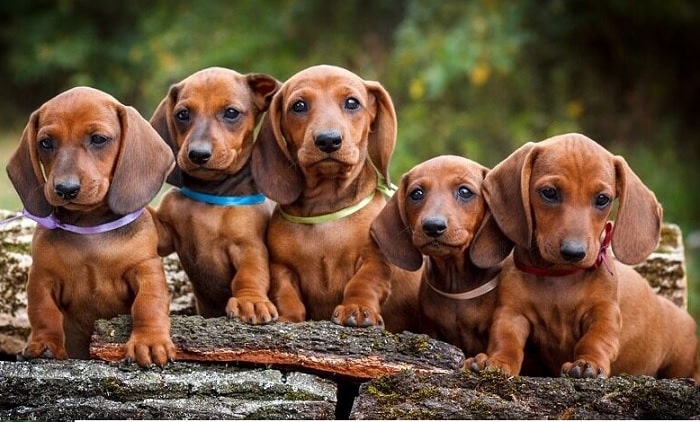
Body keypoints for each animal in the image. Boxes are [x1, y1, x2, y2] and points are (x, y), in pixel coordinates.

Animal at [6, 85, 176, 366]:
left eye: (98, 139)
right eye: (45, 142)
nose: (66, 189)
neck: (89, 227)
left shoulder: (146, 268)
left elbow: (148, 303)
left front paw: (149, 342)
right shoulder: (42, 276)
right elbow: (44, 312)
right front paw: (45, 343)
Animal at [150, 67, 278, 322]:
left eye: (231, 113)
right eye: (182, 114)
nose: (198, 154)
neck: (210, 192)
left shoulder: (249, 246)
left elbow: (251, 273)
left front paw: (251, 301)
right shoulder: (165, 232)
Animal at [252, 64, 418, 332]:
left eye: (352, 103)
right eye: (298, 105)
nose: (328, 140)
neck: (325, 209)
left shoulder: (374, 260)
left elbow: (363, 283)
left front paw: (357, 308)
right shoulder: (281, 267)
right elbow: (287, 294)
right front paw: (289, 318)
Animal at [464, 133, 700, 382]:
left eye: (603, 199)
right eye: (549, 192)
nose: (574, 252)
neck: (558, 277)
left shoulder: (605, 313)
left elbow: (596, 340)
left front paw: (588, 364)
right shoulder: (512, 313)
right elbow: (506, 340)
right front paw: (496, 362)